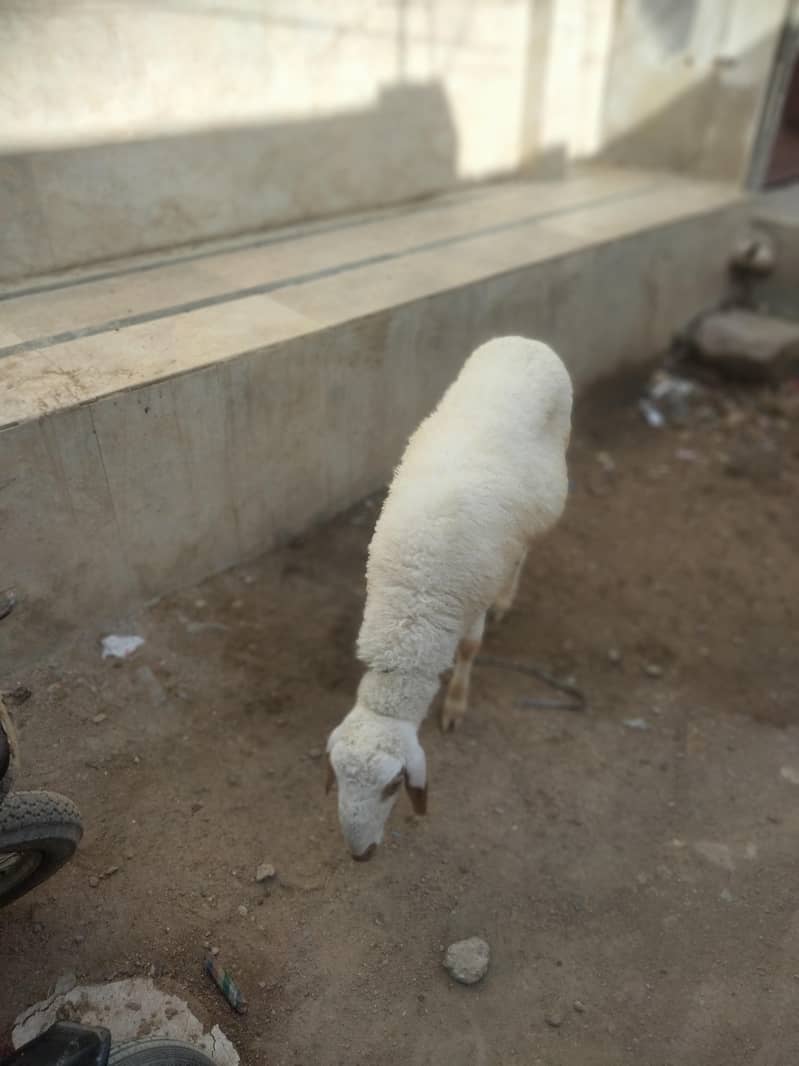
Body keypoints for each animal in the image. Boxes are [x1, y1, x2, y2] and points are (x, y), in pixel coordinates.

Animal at [326, 336, 572, 860]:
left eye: (393, 786)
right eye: (337, 776)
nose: (359, 854)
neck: (412, 608)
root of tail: (527, 341)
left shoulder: (469, 601)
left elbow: (470, 649)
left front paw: (456, 706)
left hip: (542, 501)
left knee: (523, 553)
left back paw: (507, 599)